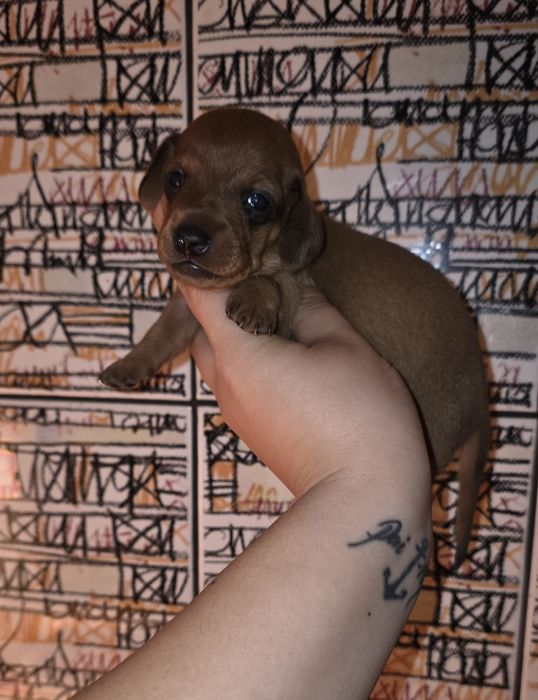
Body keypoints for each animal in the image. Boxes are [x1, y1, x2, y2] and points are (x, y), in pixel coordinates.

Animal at [100, 107, 490, 566]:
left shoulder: (291, 295)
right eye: (176, 178)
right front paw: (128, 365)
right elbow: (159, 334)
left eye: (257, 202)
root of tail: (480, 398)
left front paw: (252, 300)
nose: (190, 238)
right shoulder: (186, 306)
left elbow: (268, 283)